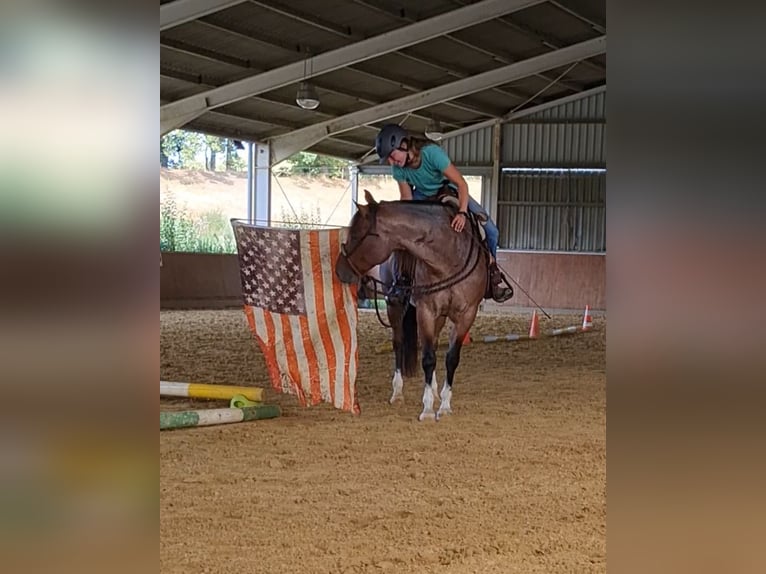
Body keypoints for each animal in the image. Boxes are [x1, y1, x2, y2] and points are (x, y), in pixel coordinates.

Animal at [335, 190, 489, 421]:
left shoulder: (466, 314)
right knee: (399, 343)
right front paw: (427, 408)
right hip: (396, 305)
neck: (449, 256)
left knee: (433, 343)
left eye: (355, 235)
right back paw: (398, 392)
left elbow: (451, 358)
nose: (339, 270)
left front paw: (444, 405)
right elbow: (427, 358)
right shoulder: (426, 311)